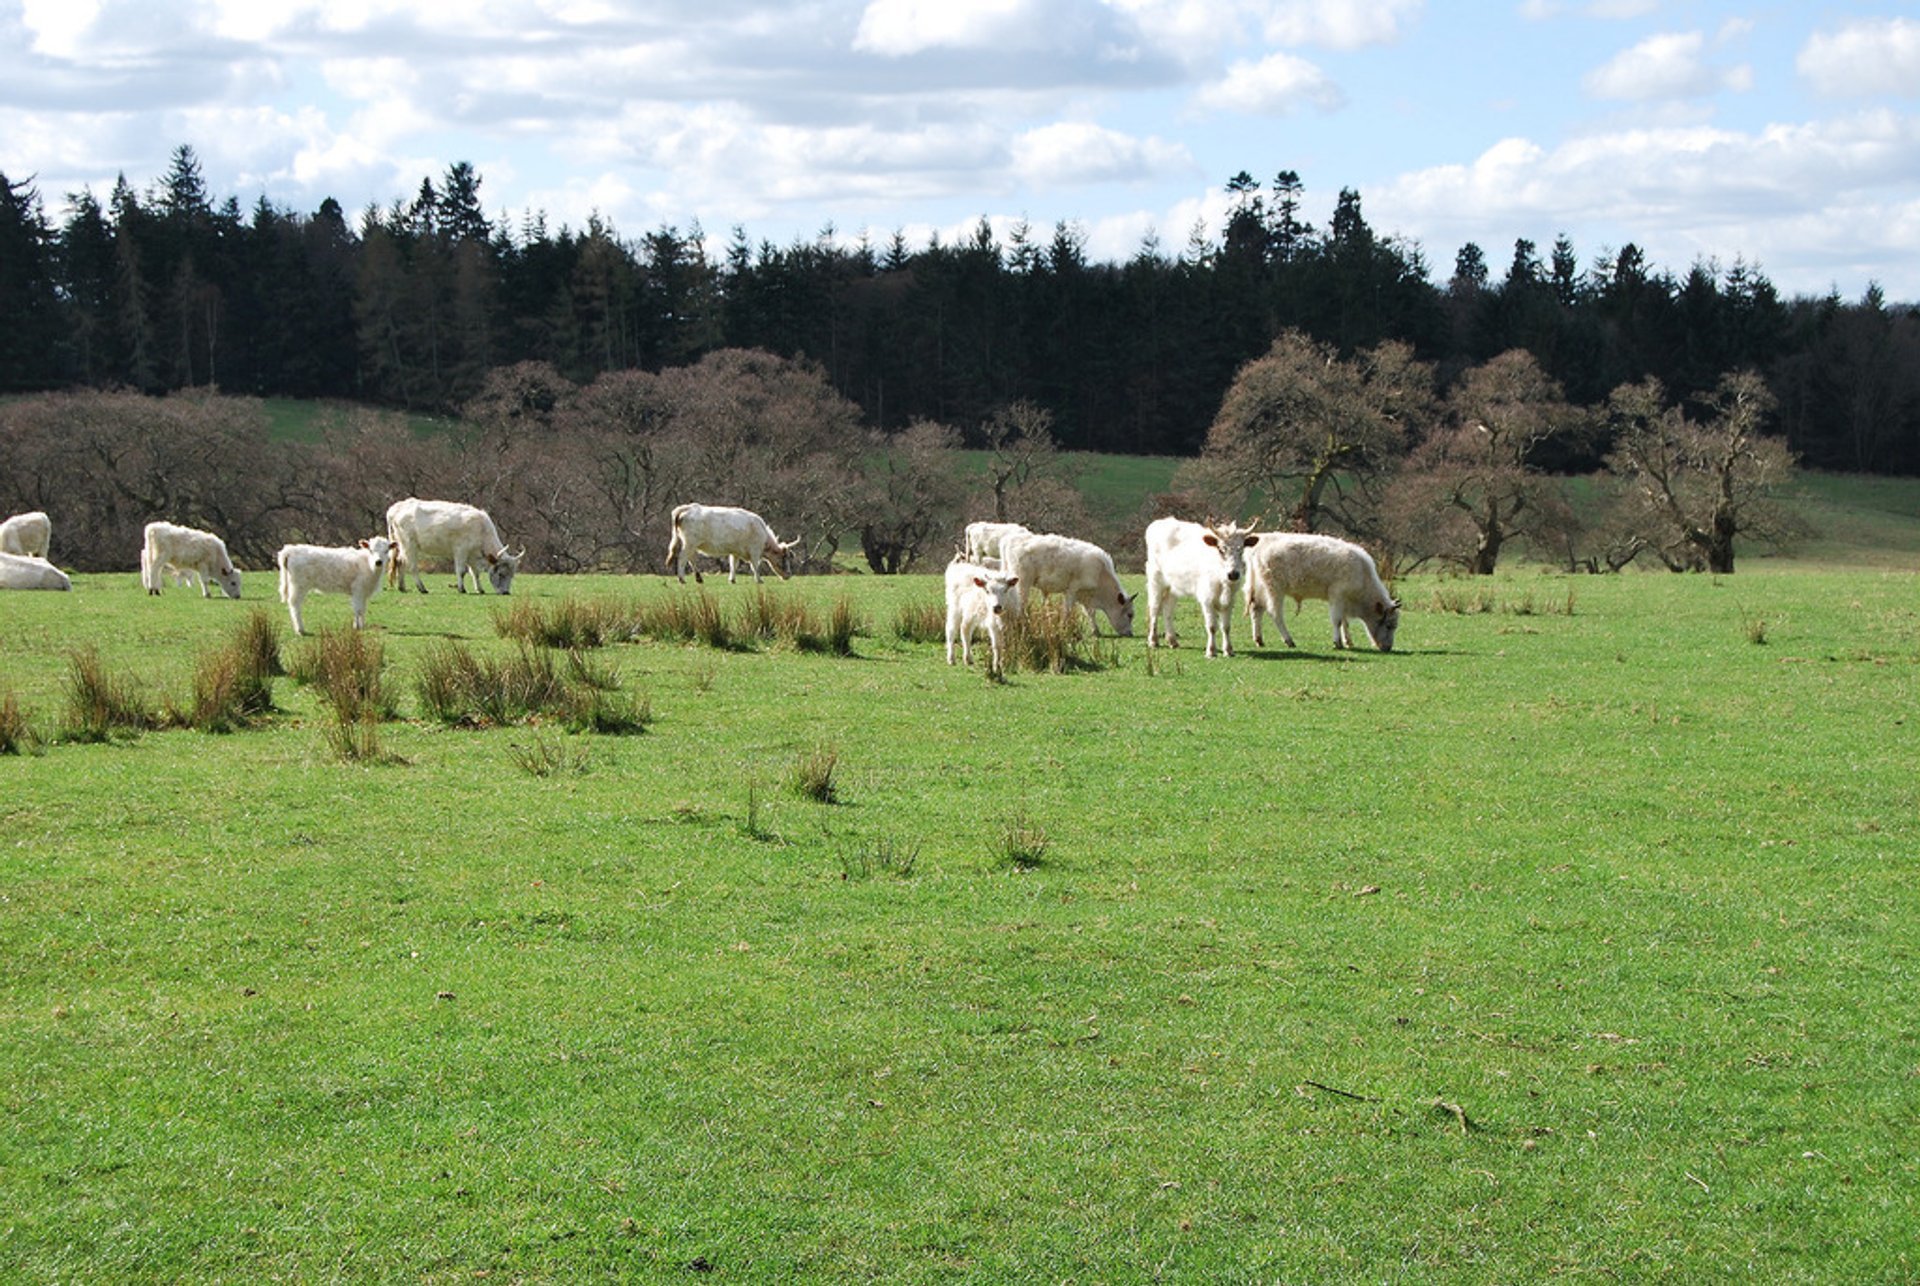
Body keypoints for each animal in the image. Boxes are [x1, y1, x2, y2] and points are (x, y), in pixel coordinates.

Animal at [384, 499, 526, 598]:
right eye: (501, 574)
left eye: (512, 575)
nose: (506, 592)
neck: (481, 530)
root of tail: (395, 508)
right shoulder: (461, 550)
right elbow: (461, 571)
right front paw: (461, 589)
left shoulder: (472, 555)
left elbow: (475, 573)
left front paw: (479, 589)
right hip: (410, 544)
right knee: (412, 566)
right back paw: (422, 588)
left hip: (401, 545)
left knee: (400, 562)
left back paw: (402, 587)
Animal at [998, 529, 1128, 637]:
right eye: (1130, 615)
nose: (1130, 633)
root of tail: (1009, 539)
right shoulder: (1073, 589)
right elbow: (1068, 609)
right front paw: (1064, 628)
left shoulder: (1085, 596)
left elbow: (1090, 613)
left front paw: (1095, 631)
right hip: (1023, 583)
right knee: (1021, 604)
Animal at [1136, 518, 1259, 660]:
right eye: (1220, 549)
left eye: (1241, 550)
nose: (1233, 574)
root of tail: (1160, 522)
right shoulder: (1207, 599)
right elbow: (1212, 626)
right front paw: (1211, 651)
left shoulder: (1229, 601)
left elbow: (1226, 627)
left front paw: (1228, 650)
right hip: (1156, 581)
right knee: (1154, 610)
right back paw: (1153, 641)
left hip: (1173, 587)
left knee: (1168, 610)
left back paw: (1172, 640)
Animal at [1244, 533, 1397, 656]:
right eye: (1389, 625)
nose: (1388, 648)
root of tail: (1261, 542)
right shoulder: (1337, 595)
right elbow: (1338, 620)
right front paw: (1338, 643)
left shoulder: (1343, 601)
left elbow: (1345, 622)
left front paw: (1348, 641)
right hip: (1275, 589)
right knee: (1275, 613)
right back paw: (1289, 640)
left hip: (1260, 588)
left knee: (1256, 609)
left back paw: (1259, 639)